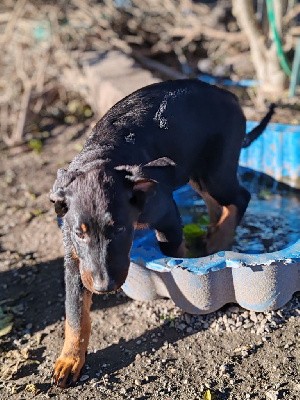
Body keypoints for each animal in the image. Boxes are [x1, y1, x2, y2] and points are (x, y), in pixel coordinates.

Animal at [50, 79, 276, 388]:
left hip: (215, 171)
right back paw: (213, 235)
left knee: (240, 198)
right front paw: (70, 360)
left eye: (119, 229)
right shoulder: (75, 259)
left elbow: (174, 256)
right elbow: (74, 312)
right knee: (219, 206)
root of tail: (228, 95)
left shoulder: (168, 215)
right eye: (79, 233)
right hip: (197, 173)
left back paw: (218, 241)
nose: (104, 287)